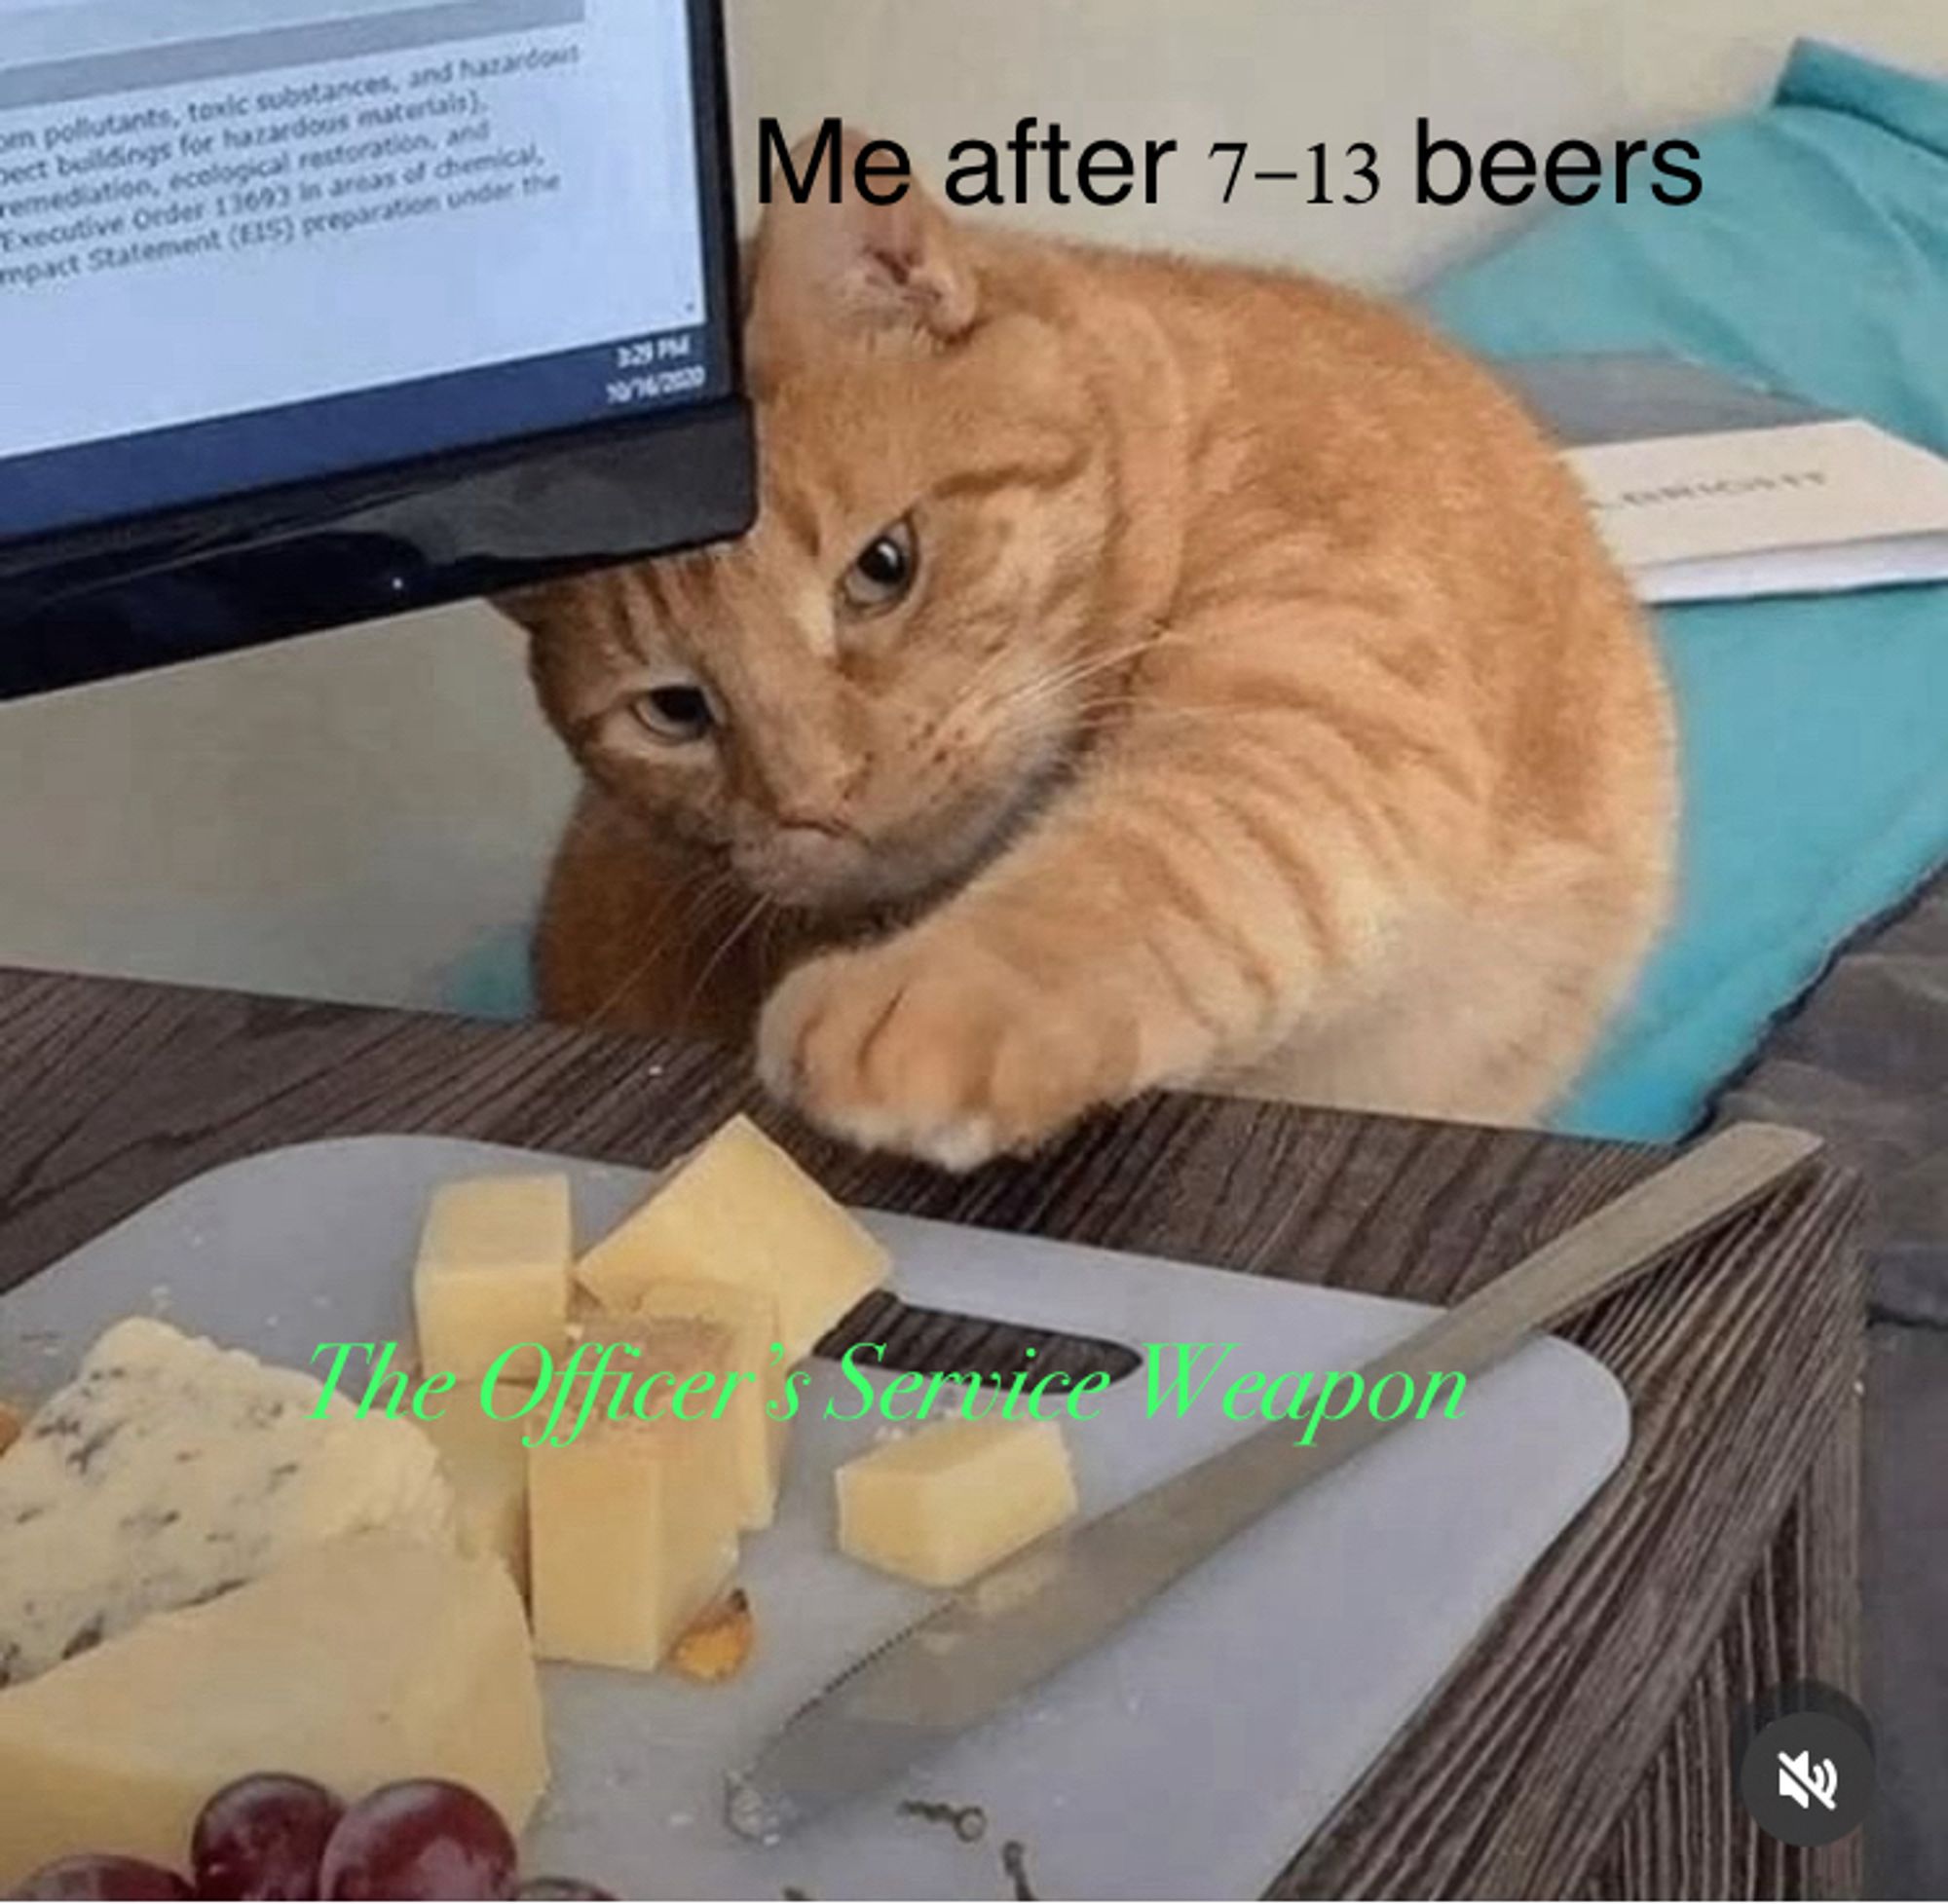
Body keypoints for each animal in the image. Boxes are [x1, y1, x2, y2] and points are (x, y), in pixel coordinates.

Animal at [510, 132, 1683, 1168]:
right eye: (673, 709)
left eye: (883, 566)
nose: (817, 796)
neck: (1185, 440)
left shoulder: (1317, 703)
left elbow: (1144, 864)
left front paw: (933, 999)